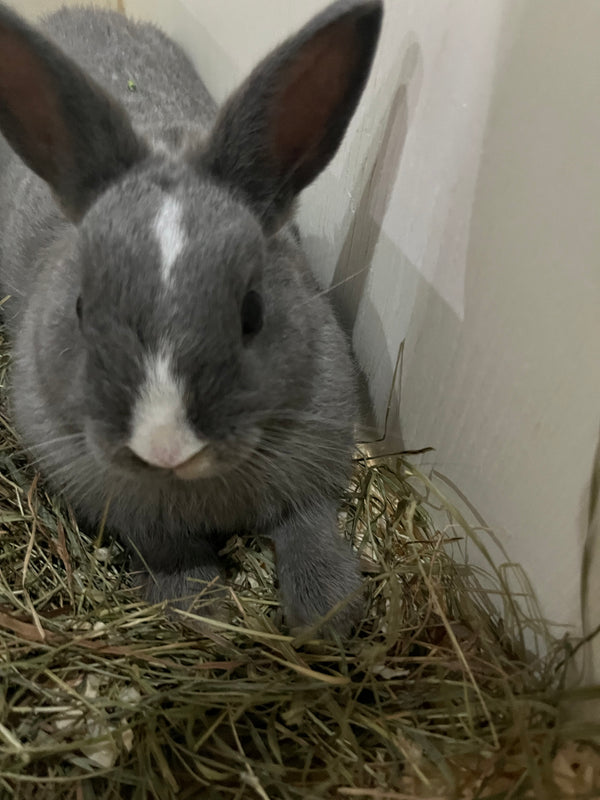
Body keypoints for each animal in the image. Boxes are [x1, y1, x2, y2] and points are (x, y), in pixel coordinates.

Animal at [0, 1, 384, 636]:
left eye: (252, 311)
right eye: (81, 308)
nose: (166, 447)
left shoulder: (315, 451)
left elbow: (308, 521)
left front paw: (327, 613)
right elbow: (163, 543)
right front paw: (201, 609)